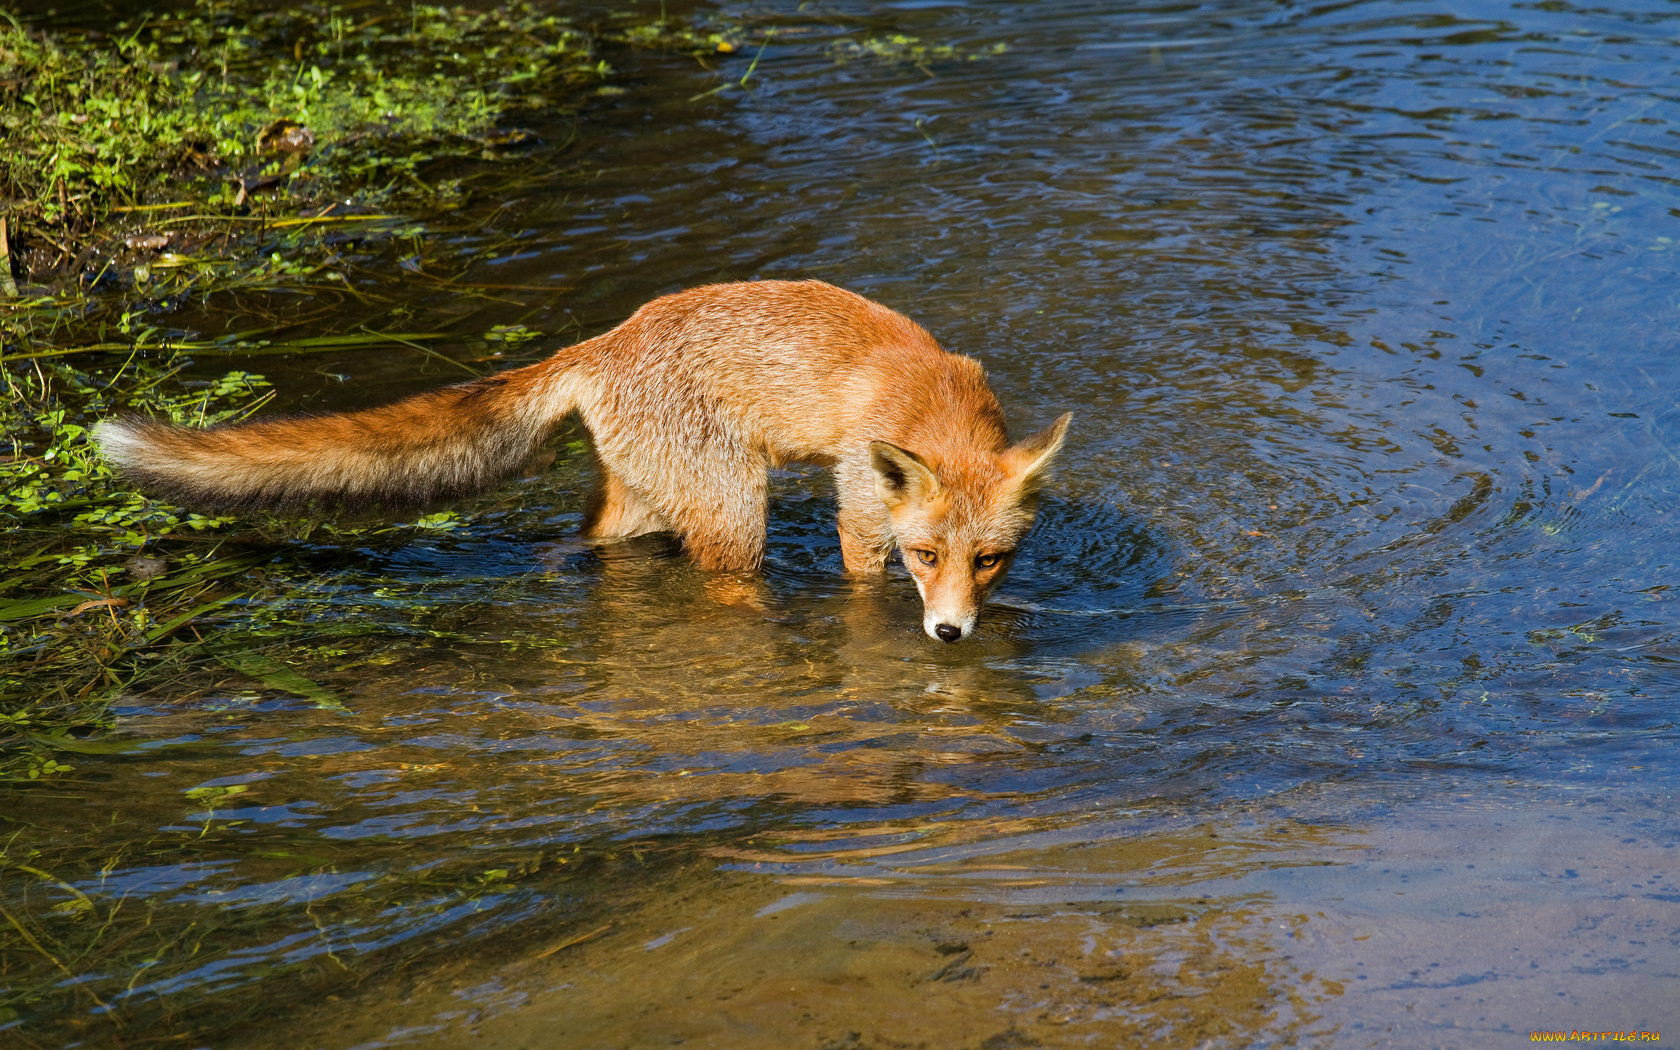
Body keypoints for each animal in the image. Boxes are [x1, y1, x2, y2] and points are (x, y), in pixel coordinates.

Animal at [98, 278, 1075, 638]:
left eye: (991, 560)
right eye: (926, 555)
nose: (950, 635)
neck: (929, 403)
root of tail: (601, 344)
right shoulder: (859, 510)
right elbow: (862, 579)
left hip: (647, 500)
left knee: (586, 542)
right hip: (736, 512)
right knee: (723, 579)